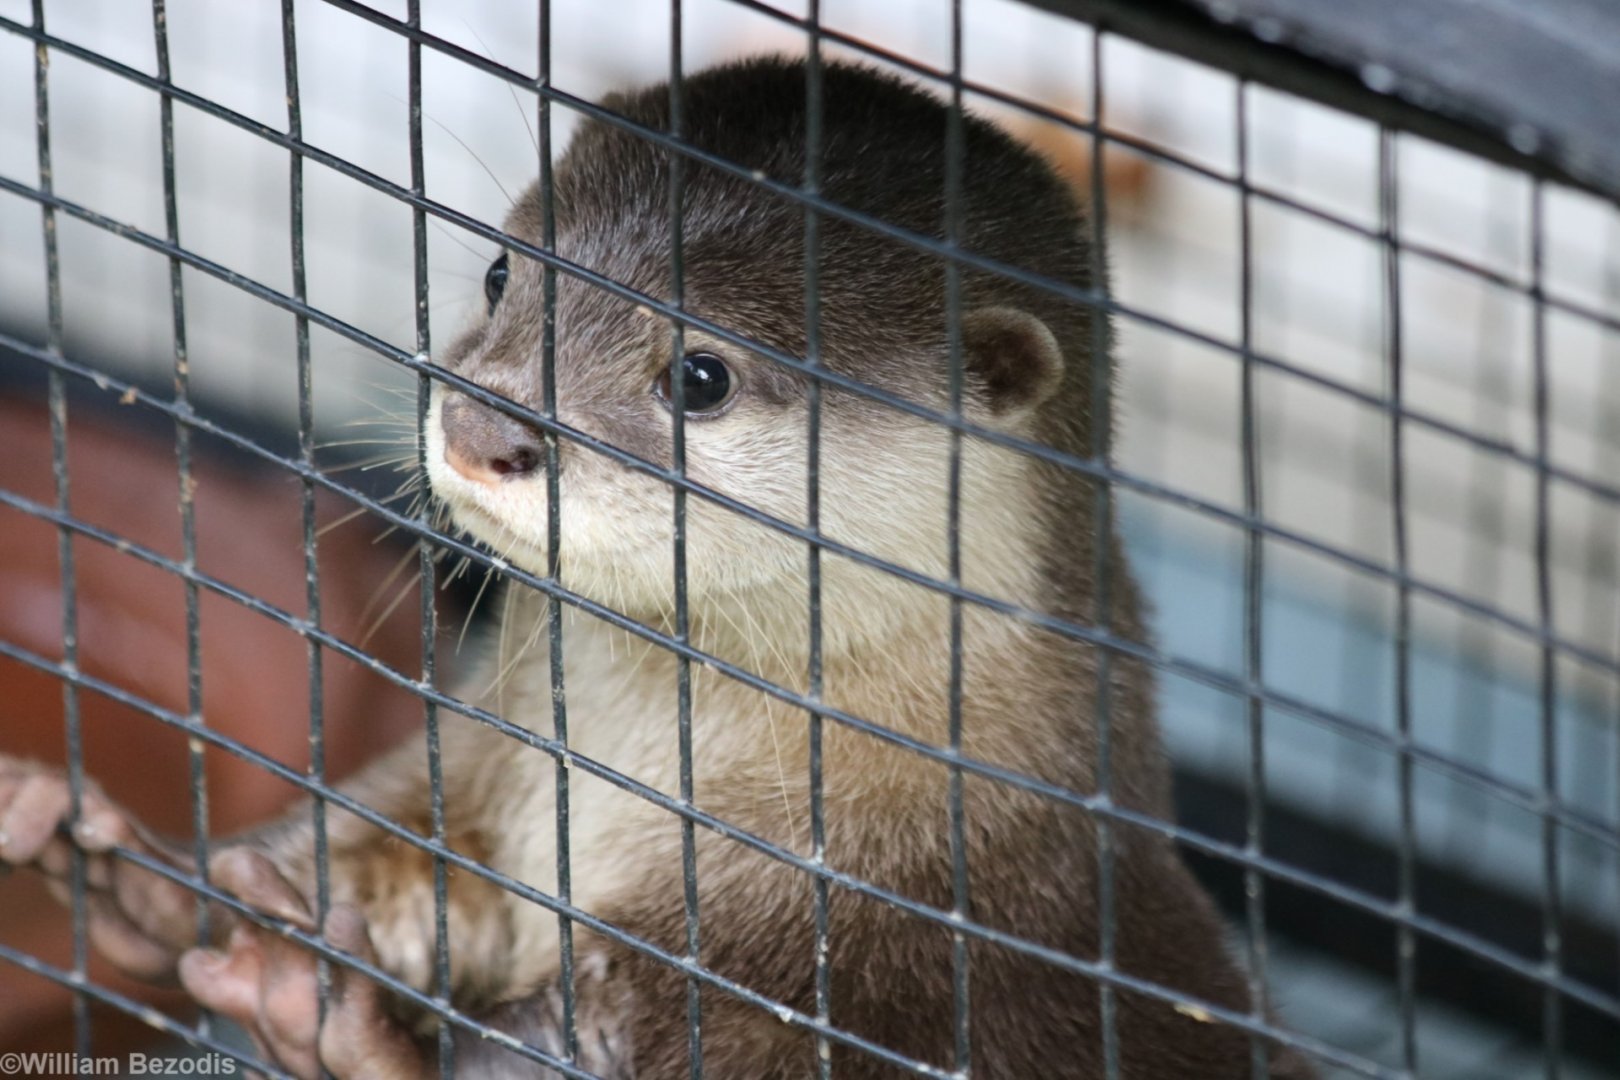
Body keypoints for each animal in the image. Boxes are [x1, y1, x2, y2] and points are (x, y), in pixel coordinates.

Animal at [0, 58, 1313, 1078]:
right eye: (502, 271)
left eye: (700, 376)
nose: (483, 425)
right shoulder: (489, 764)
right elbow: (391, 849)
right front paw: (138, 875)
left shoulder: (823, 984)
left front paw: (348, 1030)